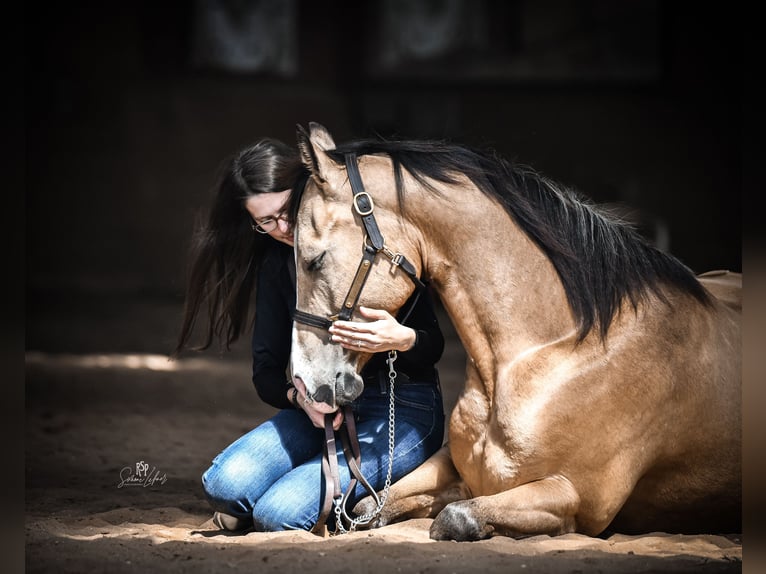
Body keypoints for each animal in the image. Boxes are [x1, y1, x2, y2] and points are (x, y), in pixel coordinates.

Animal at [289, 122, 741, 541]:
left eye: (314, 260)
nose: (302, 381)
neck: (559, 351)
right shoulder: (455, 465)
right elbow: (369, 506)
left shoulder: (576, 498)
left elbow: (456, 516)